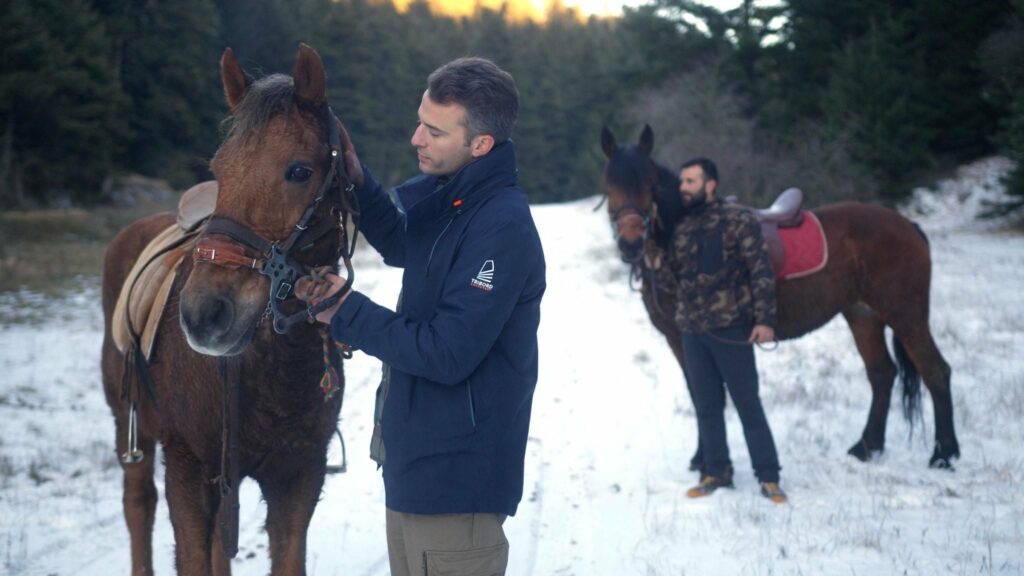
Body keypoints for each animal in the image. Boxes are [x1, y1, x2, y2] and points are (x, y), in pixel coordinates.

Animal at [99, 45, 356, 573]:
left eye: (299, 171)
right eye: (219, 170)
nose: (205, 314)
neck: (274, 367)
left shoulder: (298, 477)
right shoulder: (186, 467)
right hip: (129, 428)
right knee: (138, 505)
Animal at [598, 124, 958, 467]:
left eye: (650, 185)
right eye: (609, 186)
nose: (630, 243)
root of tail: (908, 225)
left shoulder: (691, 336)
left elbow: (707, 395)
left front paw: (705, 461)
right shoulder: (678, 338)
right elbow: (699, 393)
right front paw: (702, 459)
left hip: (906, 315)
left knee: (935, 371)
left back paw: (944, 455)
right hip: (863, 315)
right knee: (882, 374)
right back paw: (867, 447)